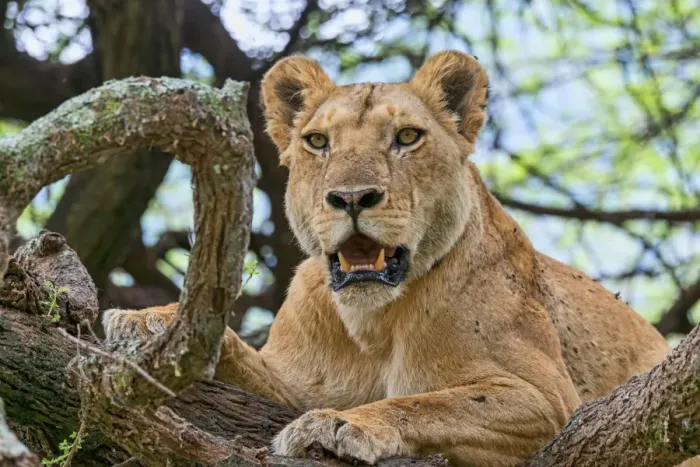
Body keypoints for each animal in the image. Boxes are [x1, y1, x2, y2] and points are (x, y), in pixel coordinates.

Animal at [103, 51, 672, 466]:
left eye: (407, 136)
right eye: (317, 141)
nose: (352, 197)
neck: (373, 321)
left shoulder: (549, 399)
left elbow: (429, 402)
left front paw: (339, 424)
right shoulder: (291, 383)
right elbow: (238, 354)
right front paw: (149, 321)